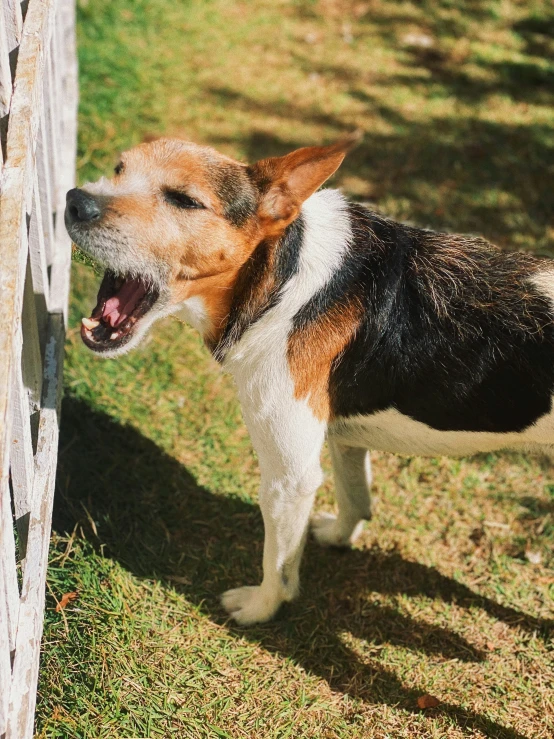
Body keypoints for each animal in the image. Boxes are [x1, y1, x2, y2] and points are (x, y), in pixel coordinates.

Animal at [64, 137, 552, 624]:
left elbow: (278, 563)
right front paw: (338, 538)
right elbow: (356, 498)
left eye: (184, 200)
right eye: (119, 169)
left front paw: (260, 609)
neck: (280, 278)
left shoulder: (289, 477)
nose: (75, 201)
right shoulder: (345, 438)